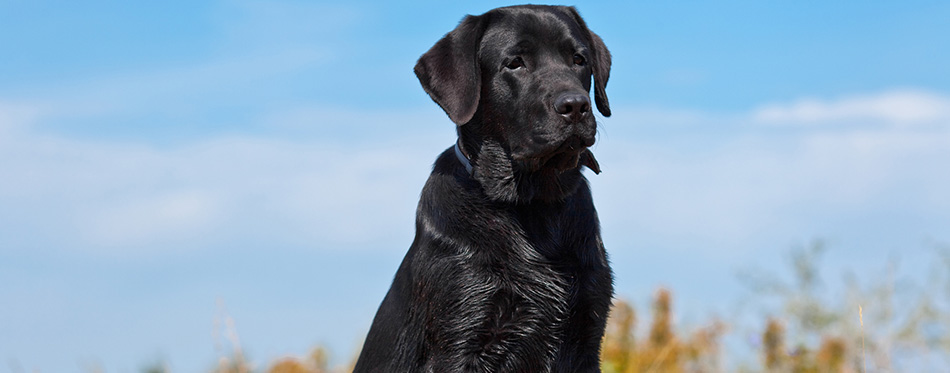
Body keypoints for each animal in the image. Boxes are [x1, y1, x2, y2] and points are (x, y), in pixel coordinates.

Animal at [354, 5, 612, 372]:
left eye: (579, 59)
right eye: (515, 63)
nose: (575, 105)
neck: (533, 202)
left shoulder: (587, 335)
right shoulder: (462, 334)